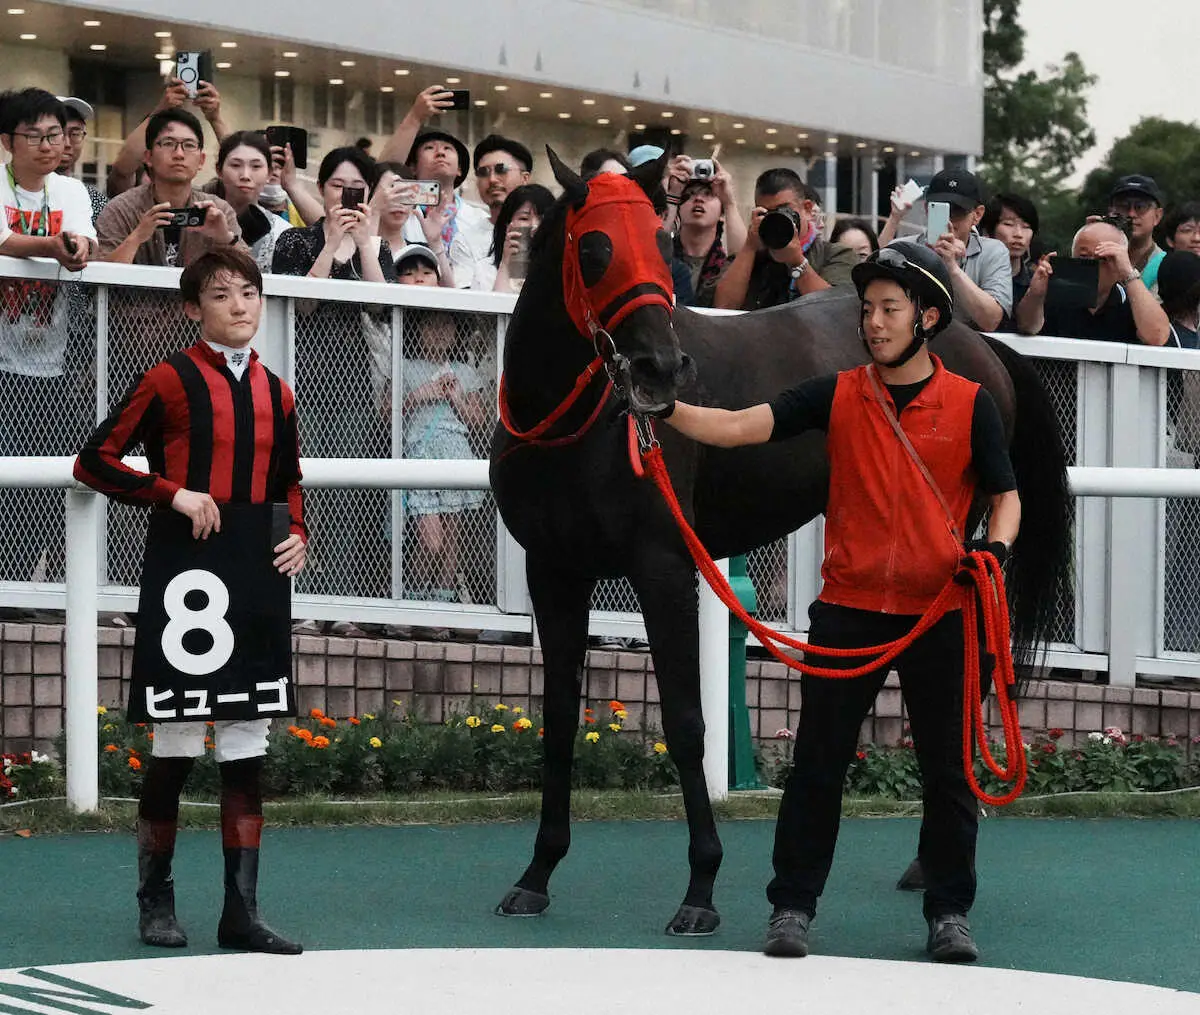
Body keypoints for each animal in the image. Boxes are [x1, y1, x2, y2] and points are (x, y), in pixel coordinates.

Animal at [492, 148, 1075, 935]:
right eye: (595, 250)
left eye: (659, 243)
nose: (660, 370)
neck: (573, 428)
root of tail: (981, 341)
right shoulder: (553, 570)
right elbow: (556, 720)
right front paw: (537, 873)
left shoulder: (662, 565)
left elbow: (687, 722)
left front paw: (701, 887)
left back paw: (932, 859)